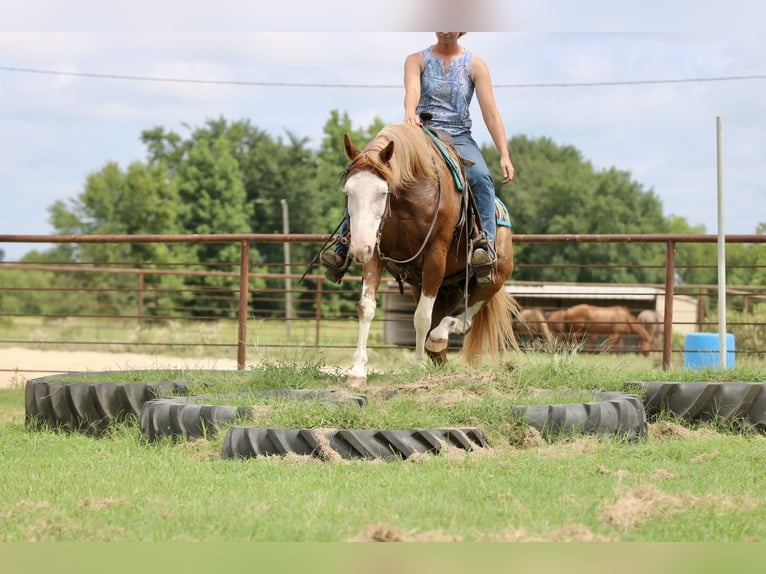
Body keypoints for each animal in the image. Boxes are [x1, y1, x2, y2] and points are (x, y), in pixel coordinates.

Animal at [340, 123, 517, 384]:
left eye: (383, 192)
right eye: (347, 192)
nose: (359, 247)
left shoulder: (435, 256)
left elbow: (421, 317)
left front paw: (418, 365)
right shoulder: (376, 252)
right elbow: (367, 307)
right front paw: (357, 371)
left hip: (495, 278)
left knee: (462, 320)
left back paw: (438, 338)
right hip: (433, 287)